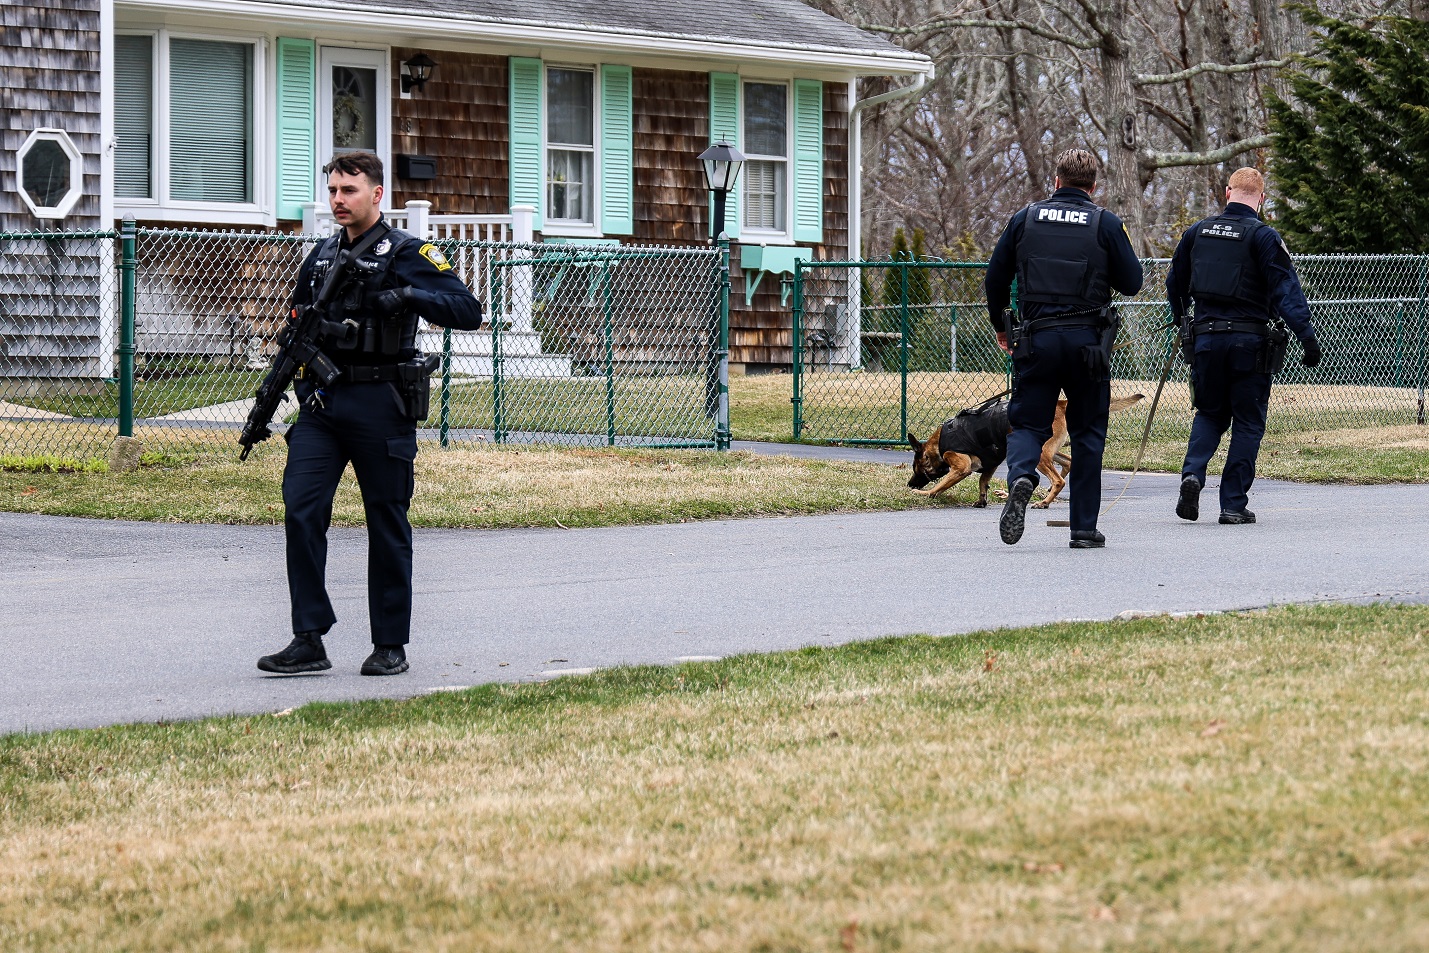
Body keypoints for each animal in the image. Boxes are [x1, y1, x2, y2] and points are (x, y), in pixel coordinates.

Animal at [906, 394, 1144, 508]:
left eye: (915, 468)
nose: (909, 485)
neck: (939, 444)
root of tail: (1061, 403)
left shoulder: (960, 466)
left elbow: (941, 486)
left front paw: (925, 494)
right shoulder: (990, 464)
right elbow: (982, 481)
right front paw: (982, 500)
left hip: (1040, 454)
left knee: (1058, 479)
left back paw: (1045, 502)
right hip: (1048, 450)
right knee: (1067, 462)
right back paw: (1045, 495)